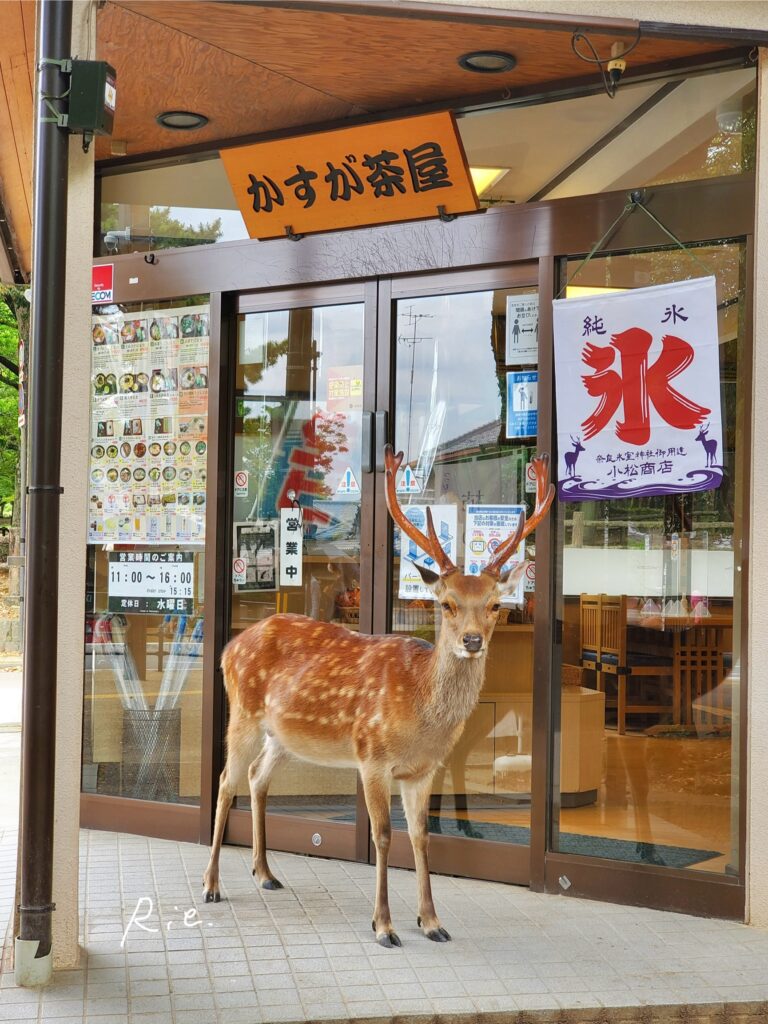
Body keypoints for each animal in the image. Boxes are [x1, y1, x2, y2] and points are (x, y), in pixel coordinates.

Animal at [202, 446, 554, 947]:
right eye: (446, 603)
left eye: (493, 605)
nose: (471, 641)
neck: (420, 711)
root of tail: (230, 646)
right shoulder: (371, 756)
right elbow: (384, 836)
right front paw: (384, 925)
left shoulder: (423, 770)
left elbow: (422, 836)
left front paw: (432, 922)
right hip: (243, 715)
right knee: (224, 781)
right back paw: (212, 885)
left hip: (282, 736)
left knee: (255, 778)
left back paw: (265, 873)